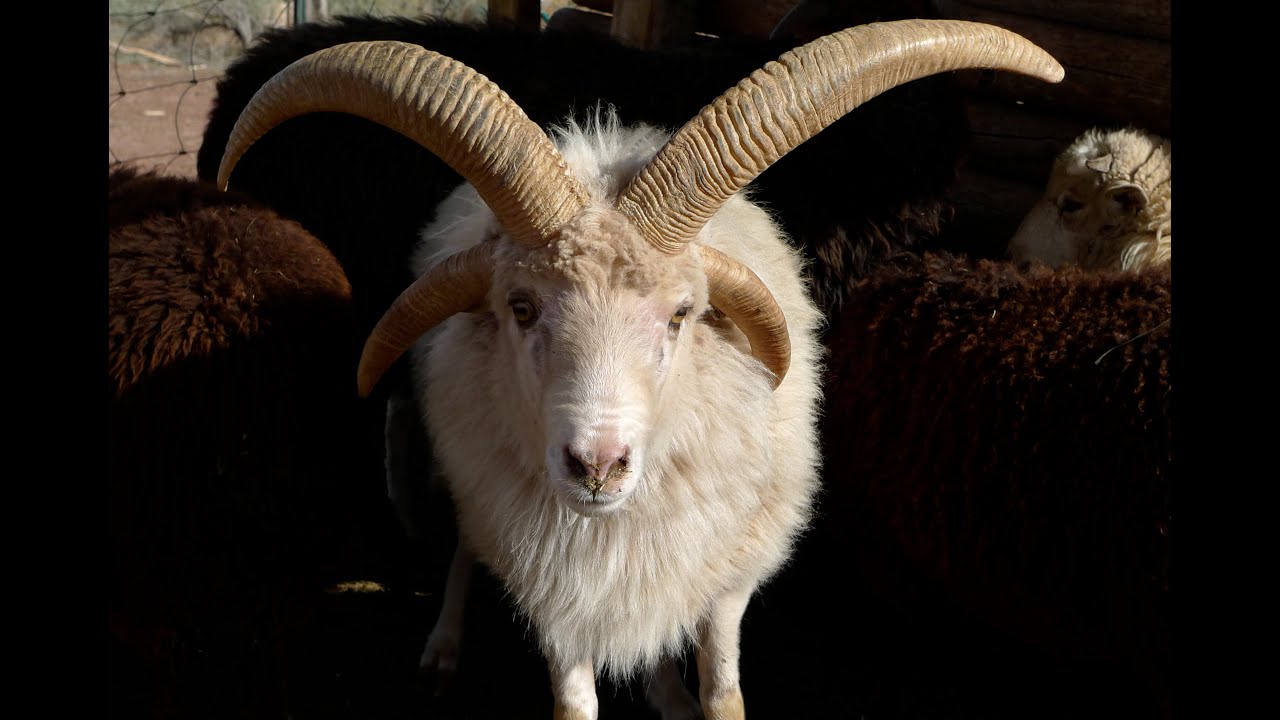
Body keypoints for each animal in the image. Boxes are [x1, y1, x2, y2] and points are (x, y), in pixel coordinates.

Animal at [213, 20, 1063, 719]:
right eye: (520, 307)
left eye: (683, 313)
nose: (597, 465)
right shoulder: (558, 597)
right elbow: (573, 700)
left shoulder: (728, 577)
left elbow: (723, 692)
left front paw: (688, 695)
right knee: (463, 543)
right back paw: (444, 648)